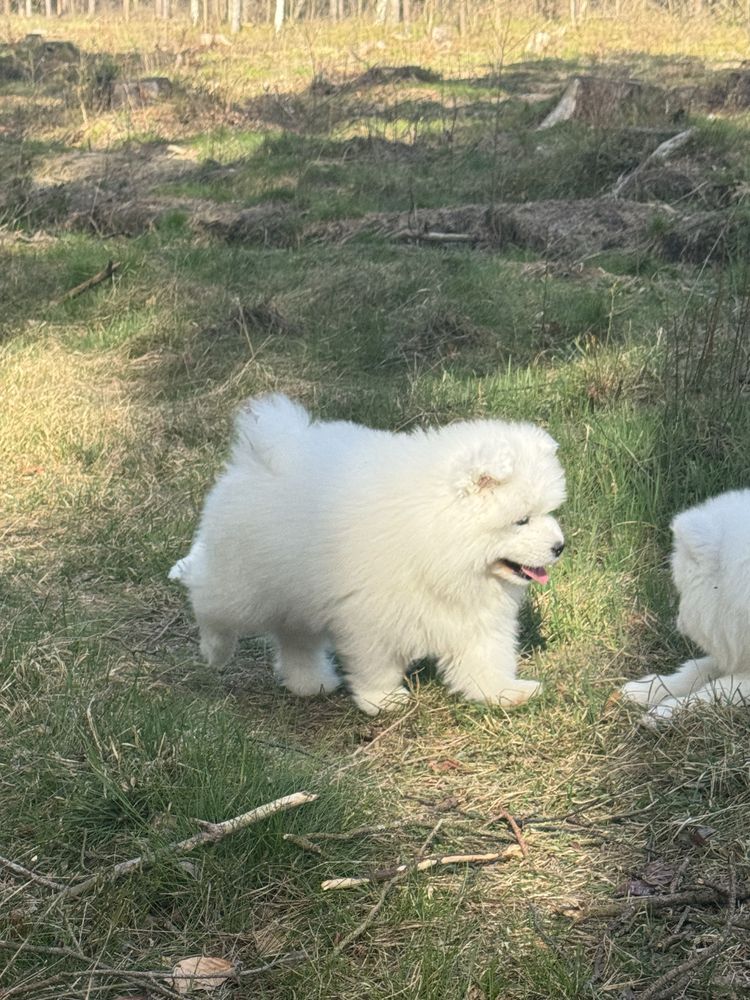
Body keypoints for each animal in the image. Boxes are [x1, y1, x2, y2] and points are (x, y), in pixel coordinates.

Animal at [170, 394, 568, 716]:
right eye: (521, 520)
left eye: (548, 512)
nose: (559, 546)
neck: (436, 538)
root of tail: (259, 454)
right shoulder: (371, 615)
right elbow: (376, 662)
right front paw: (383, 700)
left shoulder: (475, 611)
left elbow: (486, 655)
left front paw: (503, 692)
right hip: (243, 584)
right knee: (208, 597)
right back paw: (213, 647)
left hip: (296, 592)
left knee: (296, 639)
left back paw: (309, 682)